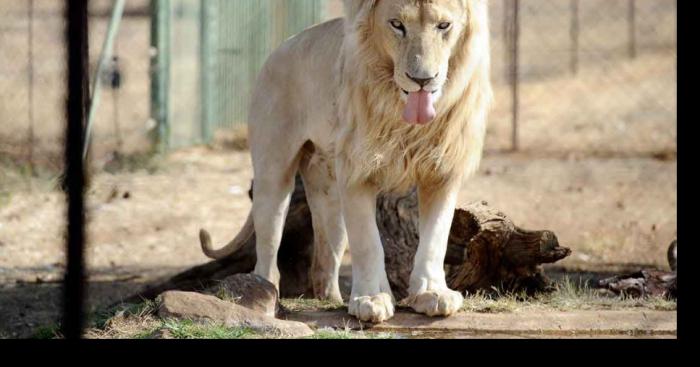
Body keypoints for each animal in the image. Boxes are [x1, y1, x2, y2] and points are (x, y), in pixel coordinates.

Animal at [200, 0, 492, 324]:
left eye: (444, 26)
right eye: (397, 25)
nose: (422, 80)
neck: (401, 114)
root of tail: (282, 46)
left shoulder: (441, 171)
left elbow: (435, 239)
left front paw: (432, 293)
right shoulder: (356, 169)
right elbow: (367, 242)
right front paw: (371, 299)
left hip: (328, 194)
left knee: (324, 262)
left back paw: (331, 298)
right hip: (272, 175)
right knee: (268, 250)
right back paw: (263, 295)